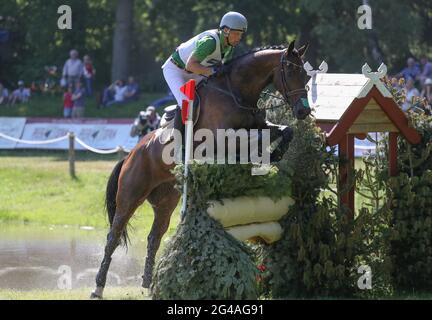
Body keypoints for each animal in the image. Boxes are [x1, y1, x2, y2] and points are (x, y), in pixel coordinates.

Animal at [91, 40, 310, 300]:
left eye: (306, 75)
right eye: (291, 72)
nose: (304, 112)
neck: (237, 92)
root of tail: (131, 154)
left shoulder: (259, 125)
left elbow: (284, 131)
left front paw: (274, 154)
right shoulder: (220, 139)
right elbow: (253, 138)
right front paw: (256, 155)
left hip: (166, 200)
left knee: (154, 237)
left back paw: (148, 284)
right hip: (130, 195)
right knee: (113, 236)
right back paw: (98, 287)